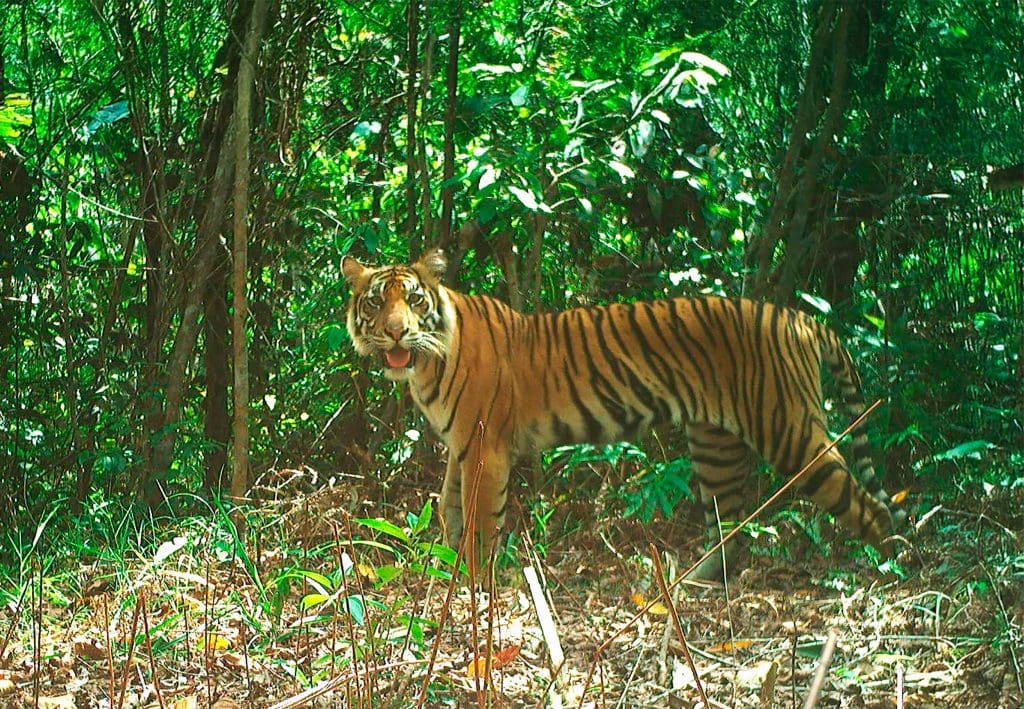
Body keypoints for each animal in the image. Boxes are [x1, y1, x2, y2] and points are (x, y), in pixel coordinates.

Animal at [341, 249, 904, 579]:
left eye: (414, 299)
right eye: (376, 302)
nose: (395, 332)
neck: (427, 362)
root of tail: (799, 318)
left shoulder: (485, 447)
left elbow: (481, 518)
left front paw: (475, 582)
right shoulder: (461, 445)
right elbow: (450, 507)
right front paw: (450, 572)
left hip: (788, 430)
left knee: (863, 503)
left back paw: (890, 572)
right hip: (716, 446)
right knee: (730, 519)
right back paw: (697, 582)